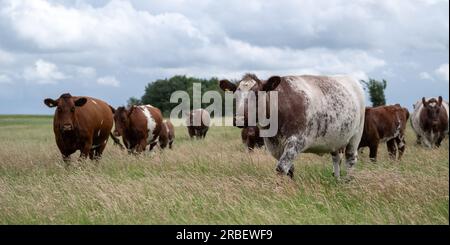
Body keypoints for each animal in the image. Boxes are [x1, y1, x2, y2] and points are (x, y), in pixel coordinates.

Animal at [219, 72, 366, 178]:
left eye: (257, 94)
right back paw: (336, 179)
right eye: (235, 95)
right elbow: (289, 170)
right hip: (335, 138)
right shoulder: (274, 146)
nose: (239, 119)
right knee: (336, 158)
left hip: (356, 135)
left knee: (350, 159)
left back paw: (347, 182)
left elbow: (281, 169)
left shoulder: (296, 141)